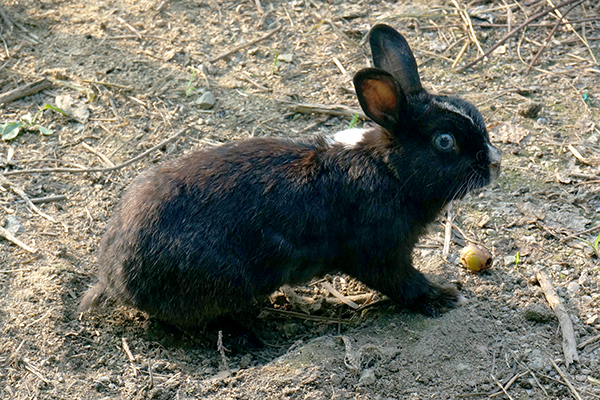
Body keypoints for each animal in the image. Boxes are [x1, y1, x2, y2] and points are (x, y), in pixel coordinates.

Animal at [81, 23, 502, 326]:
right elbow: (402, 282)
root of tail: (113, 277)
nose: (495, 162)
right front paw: (443, 297)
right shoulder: (380, 251)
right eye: (445, 141)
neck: (389, 169)